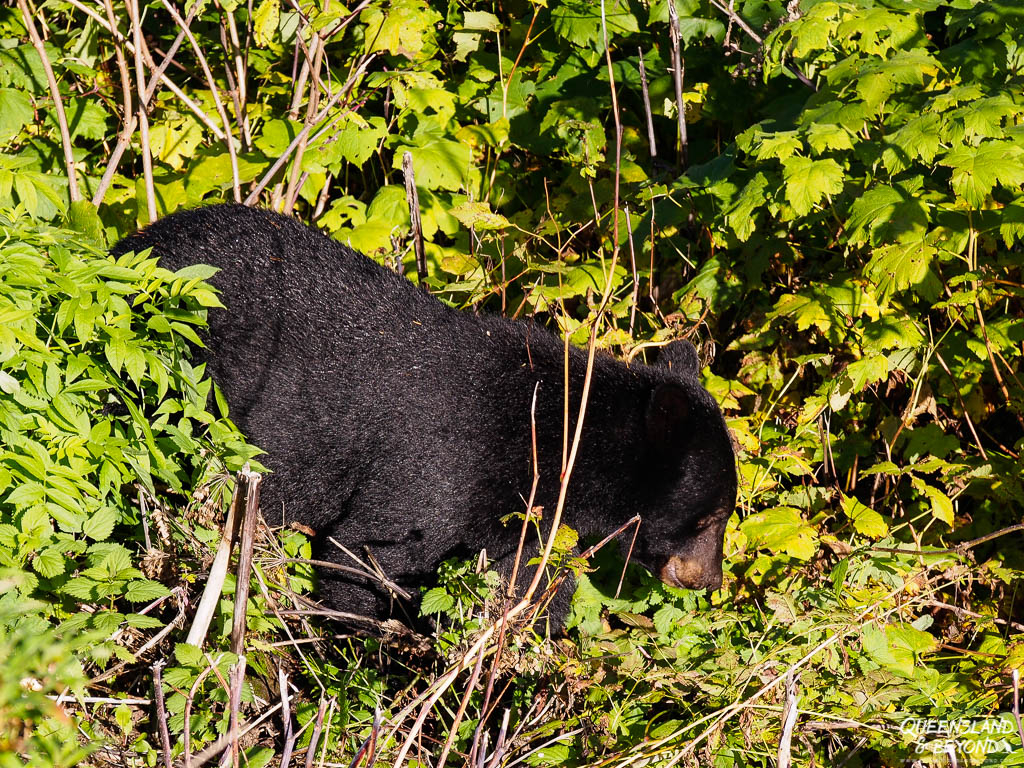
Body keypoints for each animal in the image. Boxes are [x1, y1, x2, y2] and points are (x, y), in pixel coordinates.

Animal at [112, 204, 737, 626]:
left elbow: (525, 581)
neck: (550, 431)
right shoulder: (445, 465)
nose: (709, 580)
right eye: (710, 517)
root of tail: (126, 245)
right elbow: (369, 553)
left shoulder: (520, 515)